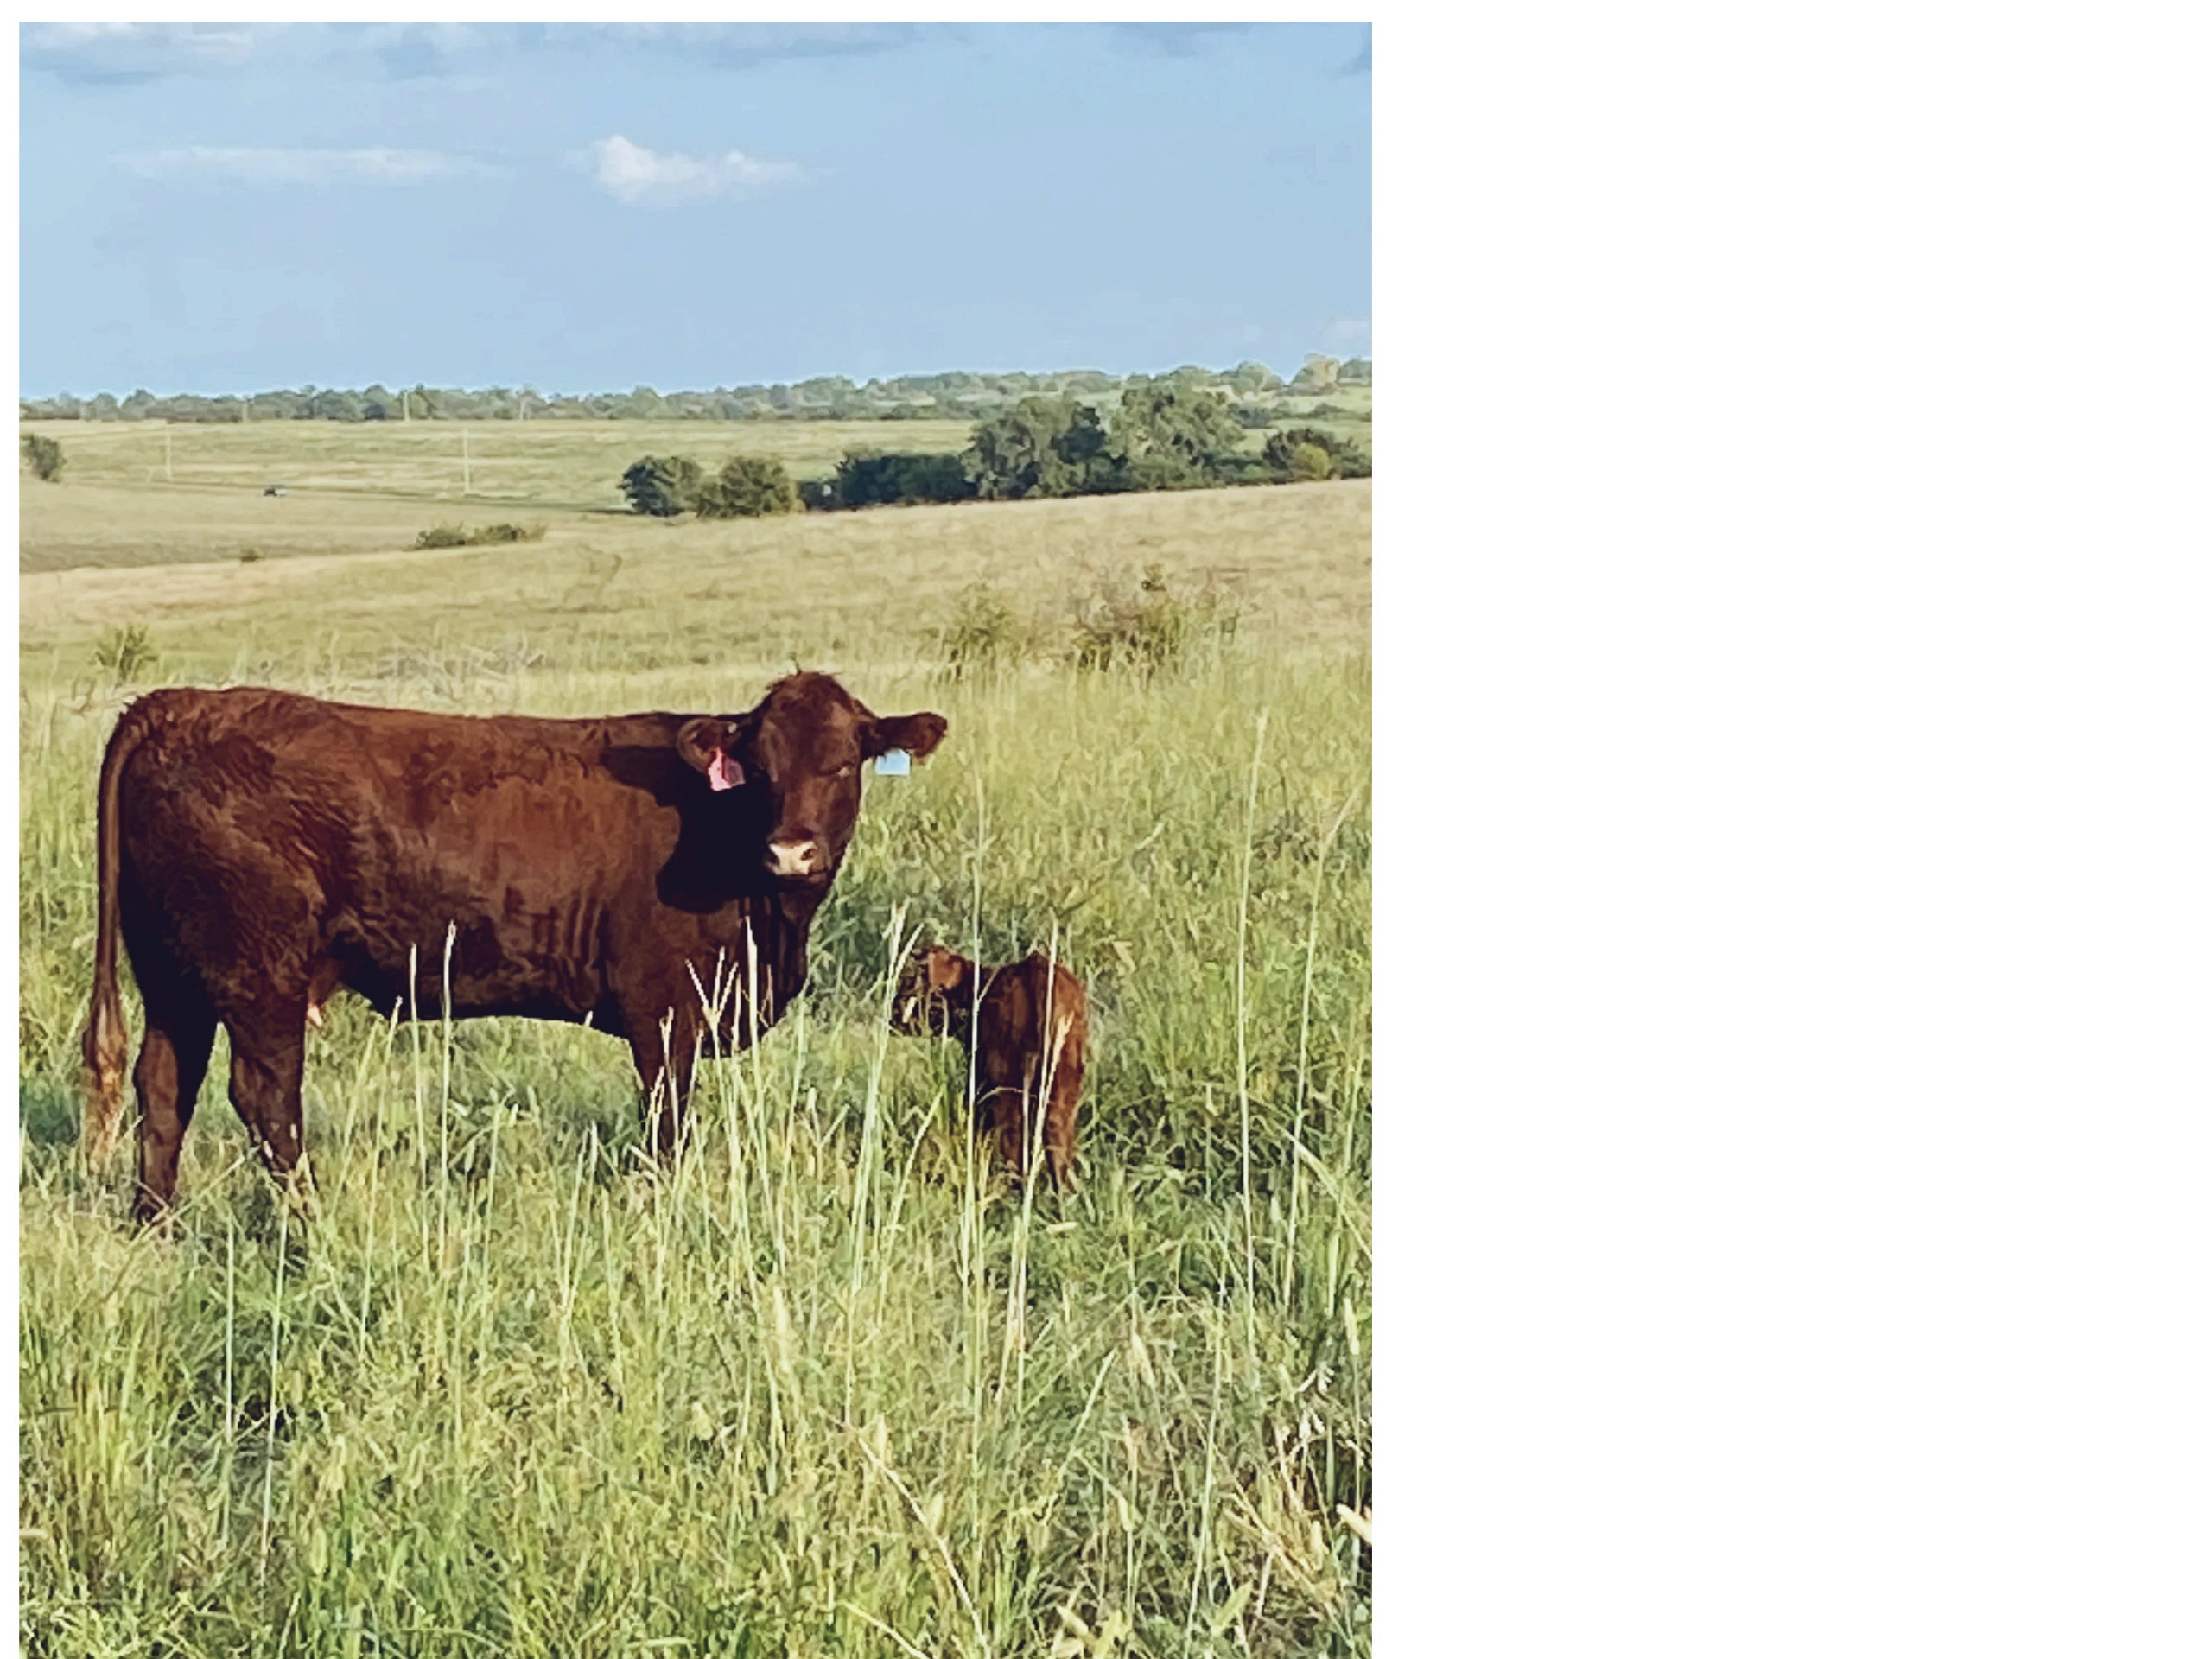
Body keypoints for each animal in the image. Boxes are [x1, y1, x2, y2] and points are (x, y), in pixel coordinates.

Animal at [79, 672, 947, 1222]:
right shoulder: (665, 1011)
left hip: (174, 973)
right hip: (260, 974)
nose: (792, 852)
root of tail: (175, 706)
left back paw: (156, 1225)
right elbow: (664, 1124)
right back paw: (308, 1227)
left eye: (844, 762)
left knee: (165, 1085)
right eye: (760, 769)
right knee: (265, 1099)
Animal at [891, 942, 1088, 1190]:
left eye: (910, 980)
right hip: (1062, 1086)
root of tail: (1037, 972)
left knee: (1013, 1140)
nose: (893, 1010)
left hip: (1005, 1086)